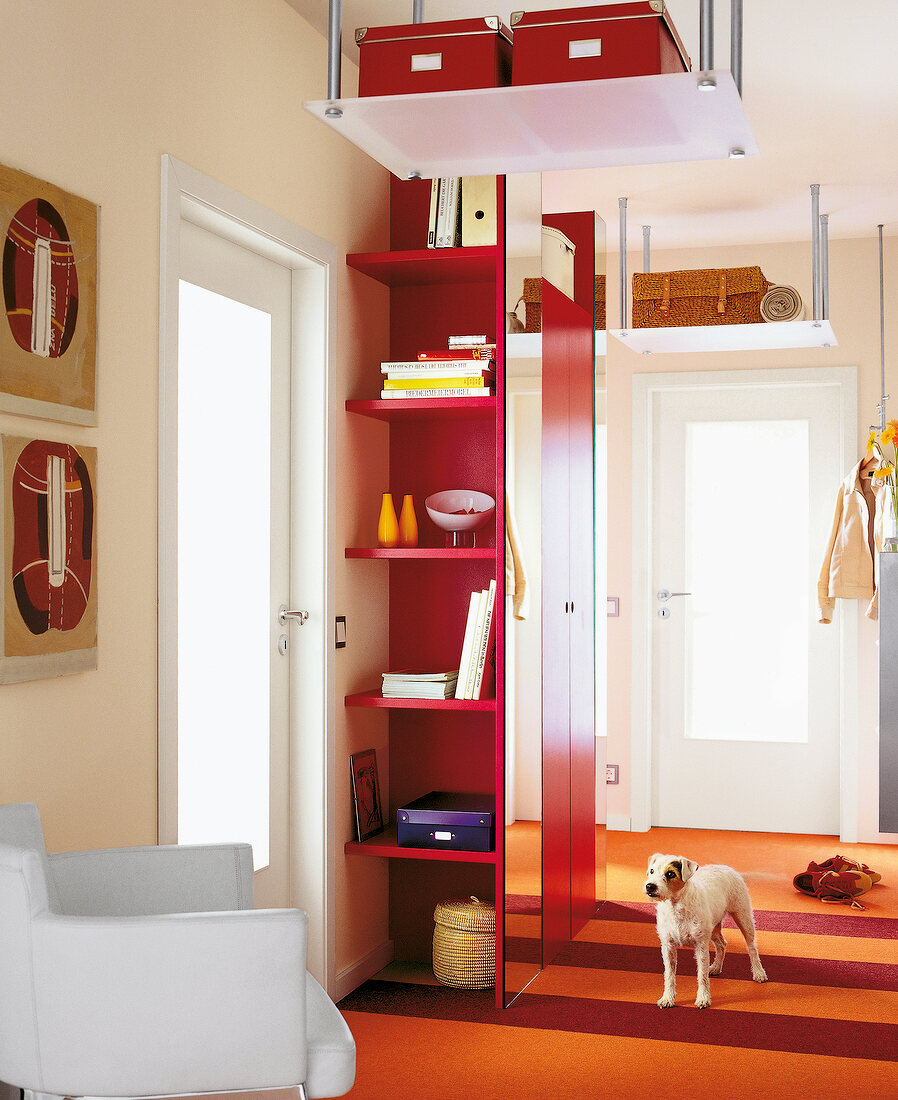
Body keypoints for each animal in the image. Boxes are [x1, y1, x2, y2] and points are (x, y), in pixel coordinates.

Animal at [642, 853, 770, 1007]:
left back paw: (758, 972)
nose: (650, 886)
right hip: (713, 927)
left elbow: (701, 975)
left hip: (743, 917)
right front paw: (667, 998)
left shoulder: (701, 946)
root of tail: (727, 868)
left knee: (752, 947)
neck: (677, 906)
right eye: (652, 871)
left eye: (670, 874)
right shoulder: (668, 946)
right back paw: (715, 967)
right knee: (722, 944)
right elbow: (669, 975)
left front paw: (703, 998)